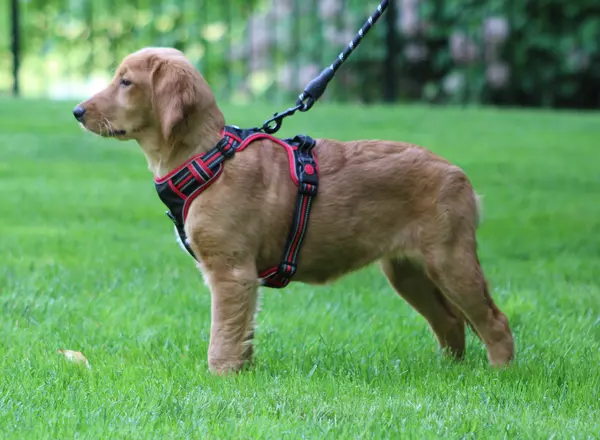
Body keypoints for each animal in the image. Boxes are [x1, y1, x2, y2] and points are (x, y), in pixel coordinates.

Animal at [74, 46, 516, 372]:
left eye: (126, 82)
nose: (77, 112)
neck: (209, 159)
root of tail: (458, 174)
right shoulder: (243, 279)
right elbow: (242, 333)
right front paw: (244, 372)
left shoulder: (231, 272)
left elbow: (222, 337)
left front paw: (220, 379)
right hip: (407, 271)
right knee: (451, 321)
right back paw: (449, 373)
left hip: (449, 259)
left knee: (494, 321)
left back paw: (499, 375)